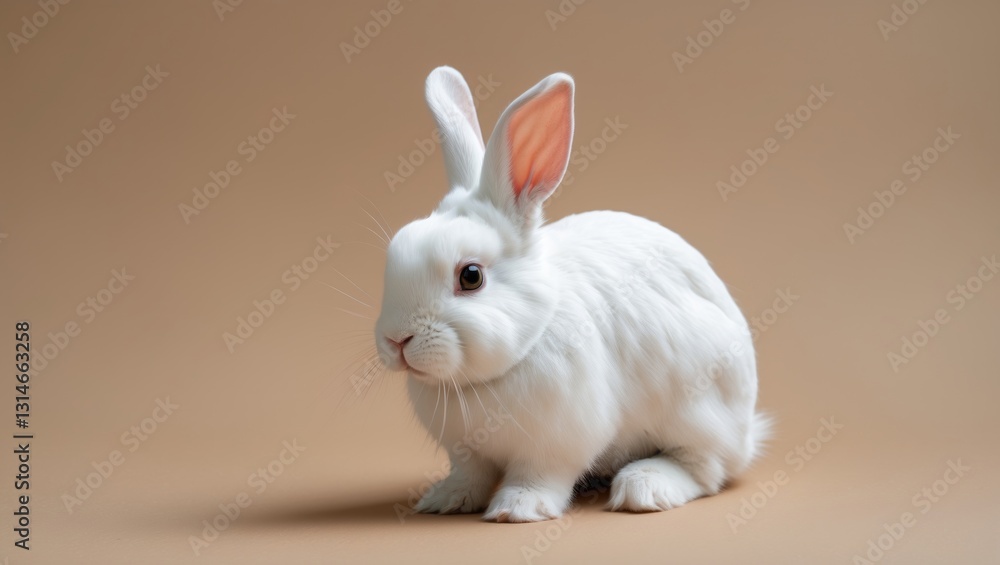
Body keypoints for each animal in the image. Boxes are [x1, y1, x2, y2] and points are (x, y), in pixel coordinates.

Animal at [374, 66, 771, 522]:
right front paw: (445, 499)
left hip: (699, 408)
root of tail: (746, 434)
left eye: (470, 276)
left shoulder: (556, 444)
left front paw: (517, 508)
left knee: (706, 468)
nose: (396, 340)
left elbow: (539, 475)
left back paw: (645, 487)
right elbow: (468, 475)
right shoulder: (466, 453)